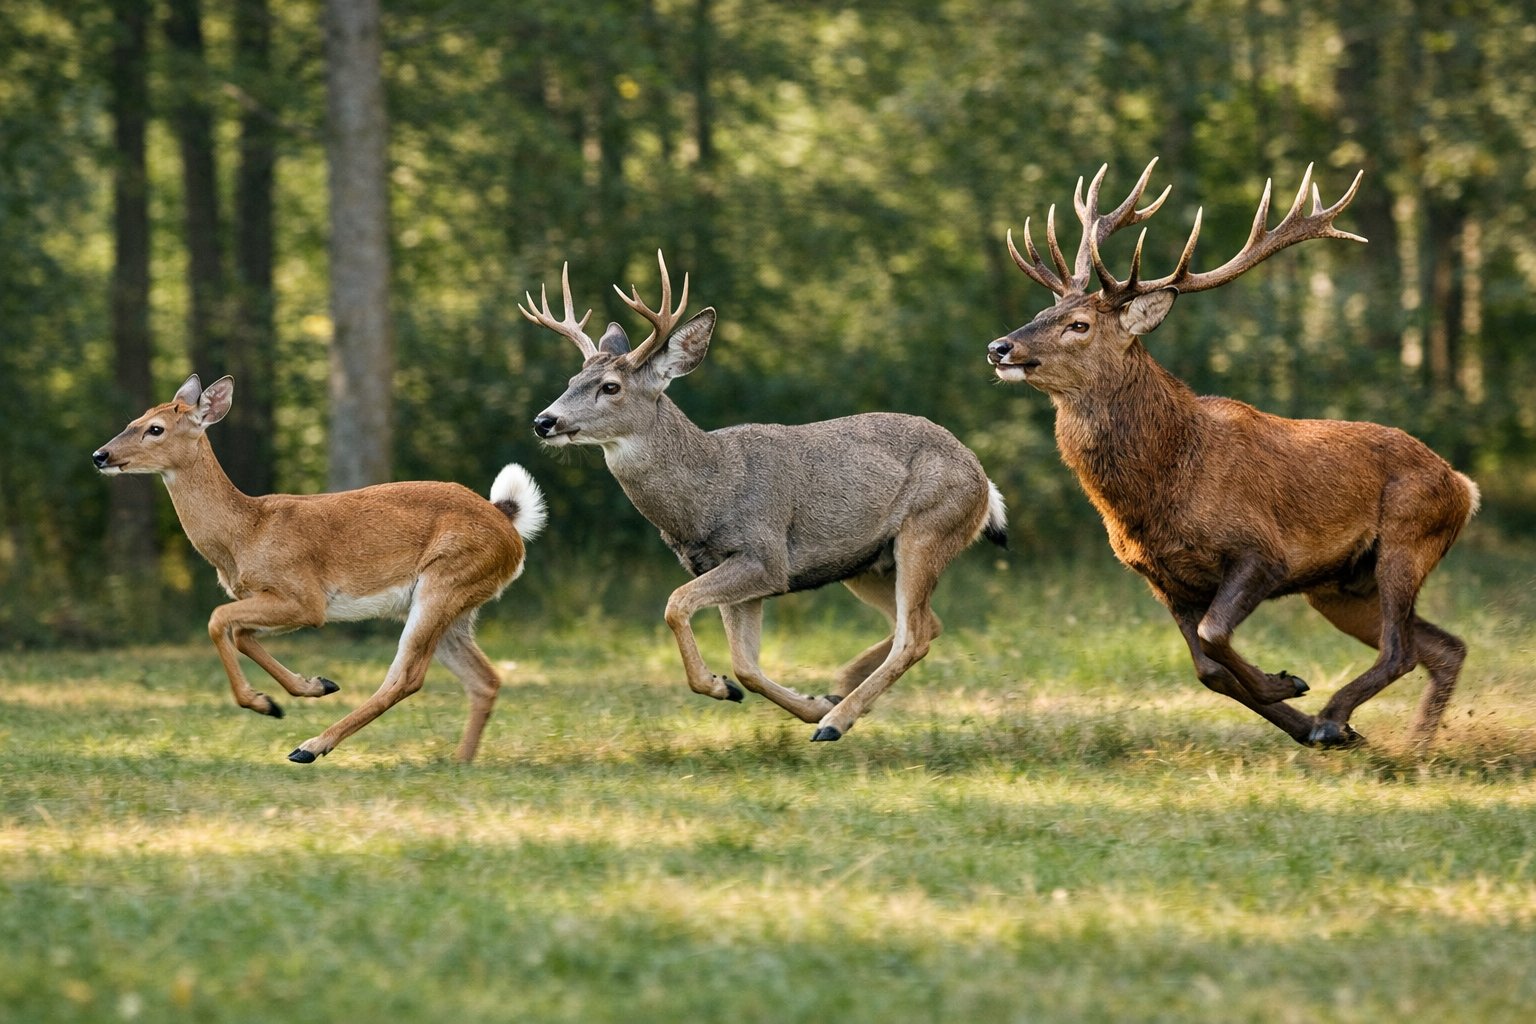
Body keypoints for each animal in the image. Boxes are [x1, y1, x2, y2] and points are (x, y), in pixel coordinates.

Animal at [93, 373, 547, 764]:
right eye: (132, 421)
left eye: (155, 428)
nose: (100, 455)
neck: (245, 533)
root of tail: (508, 525)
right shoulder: (273, 601)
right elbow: (239, 633)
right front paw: (307, 689)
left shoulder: (305, 598)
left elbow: (218, 619)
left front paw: (261, 702)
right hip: (455, 606)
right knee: (484, 680)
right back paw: (460, 761)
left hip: (445, 583)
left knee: (406, 677)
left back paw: (310, 747)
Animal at [522, 252, 1007, 742]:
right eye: (572, 379)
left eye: (610, 386)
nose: (544, 421)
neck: (710, 491)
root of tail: (983, 481)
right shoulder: (723, 570)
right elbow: (747, 665)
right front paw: (764, 694)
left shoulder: (764, 556)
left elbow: (676, 605)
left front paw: (728, 688)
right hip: (866, 563)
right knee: (928, 623)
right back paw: (840, 691)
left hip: (927, 530)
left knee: (914, 634)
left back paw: (835, 722)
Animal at [987, 159, 1479, 749]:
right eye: (1044, 309)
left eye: (1078, 325)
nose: (999, 347)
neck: (1159, 488)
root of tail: (1464, 486)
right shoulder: (1163, 580)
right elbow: (1208, 669)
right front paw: (1300, 711)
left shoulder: (1261, 550)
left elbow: (1214, 635)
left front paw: (1292, 689)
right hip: (1341, 587)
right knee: (1444, 647)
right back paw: (1407, 746)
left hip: (1409, 534)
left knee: (1401, 649)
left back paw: (1338, 717)